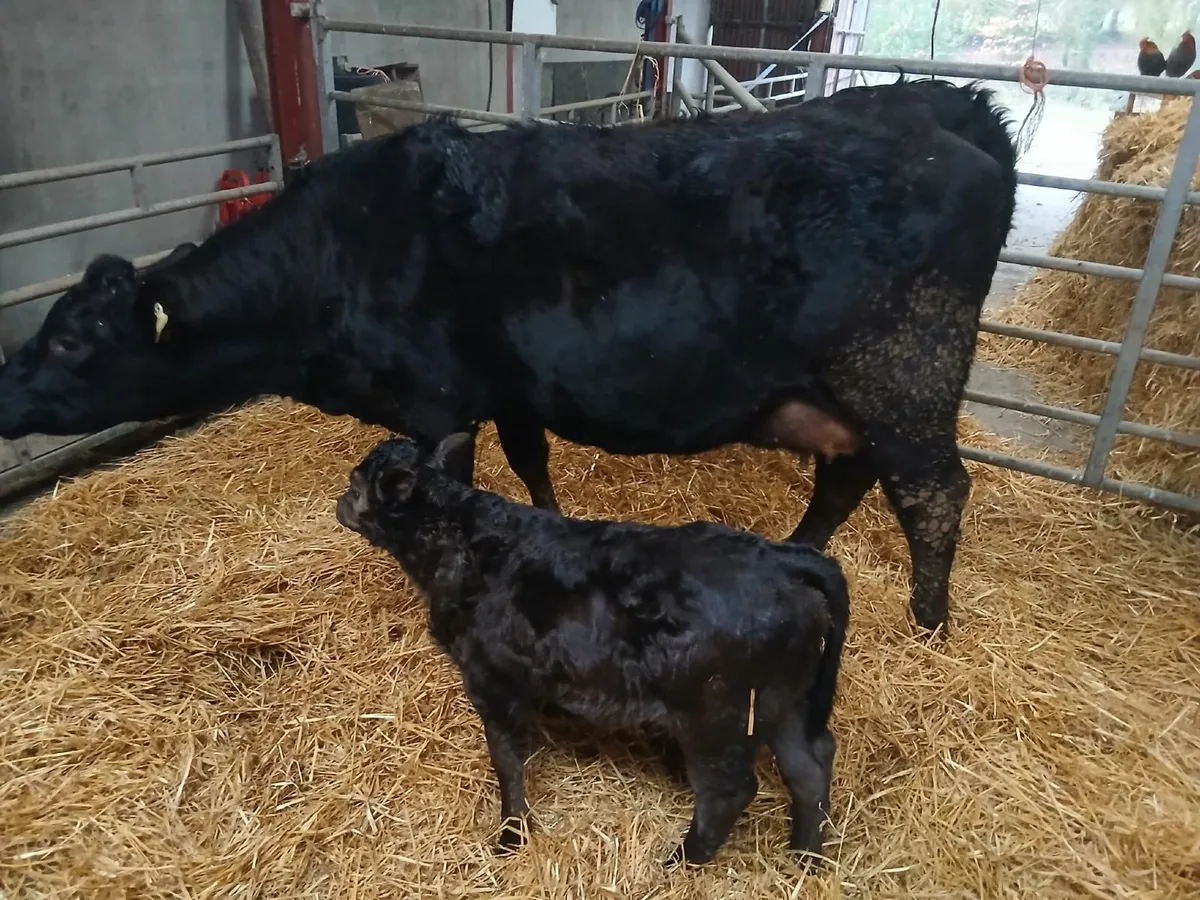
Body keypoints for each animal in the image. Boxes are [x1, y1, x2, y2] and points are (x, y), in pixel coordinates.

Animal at [0, 78, 1017, 633]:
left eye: (70, 337)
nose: (4, 388)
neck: (339, 251)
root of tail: (948, 116)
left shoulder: (438, 403)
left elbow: (450, 488)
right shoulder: (512, 387)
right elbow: (532, 463)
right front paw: (550, 525)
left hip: (904, 374)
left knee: (934, 493)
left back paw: (930, 622)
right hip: (846, 395)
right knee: (847, 479)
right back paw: (800, 550)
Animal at [335, 432, 850, 865]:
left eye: (357, 484)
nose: (339, 501)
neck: (465, 538)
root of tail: (782, 561)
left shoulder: (491, 679)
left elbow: (507, 761)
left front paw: (511, 836)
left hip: (717, 716)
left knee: (730, 790)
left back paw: (679, 862)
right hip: (785, 700)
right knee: (809, 766)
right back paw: (806, 859)